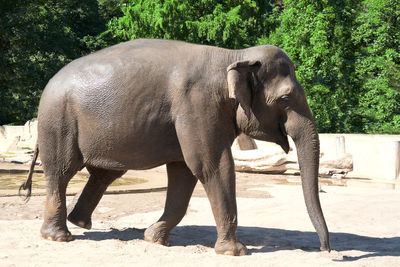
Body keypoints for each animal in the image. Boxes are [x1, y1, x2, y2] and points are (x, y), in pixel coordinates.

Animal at [20, 38, 330, 256]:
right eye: (286, 98)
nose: (325, 250)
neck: (234, 55)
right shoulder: (198, 104)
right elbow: (211, 165)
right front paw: (235, 252)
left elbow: (184, 171)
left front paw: (154, 238)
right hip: (58, 121)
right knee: (61, 172)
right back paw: (59, 236)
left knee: (105, 173)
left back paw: (80, 223)